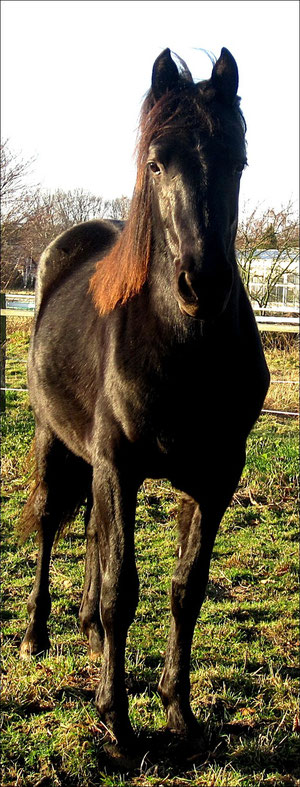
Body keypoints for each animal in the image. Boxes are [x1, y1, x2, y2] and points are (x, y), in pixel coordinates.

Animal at [19, 47, 270, 752]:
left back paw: (82, 631)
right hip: (59, 444)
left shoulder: (214, 477)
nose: (203, 284)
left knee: (93, 534)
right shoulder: (120, 467)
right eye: (157, 161)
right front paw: (116, 724)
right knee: (50, 523)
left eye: (238, 160)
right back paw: (36, 634)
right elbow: (121, 591)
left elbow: (187, 590)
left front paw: (178, 714)